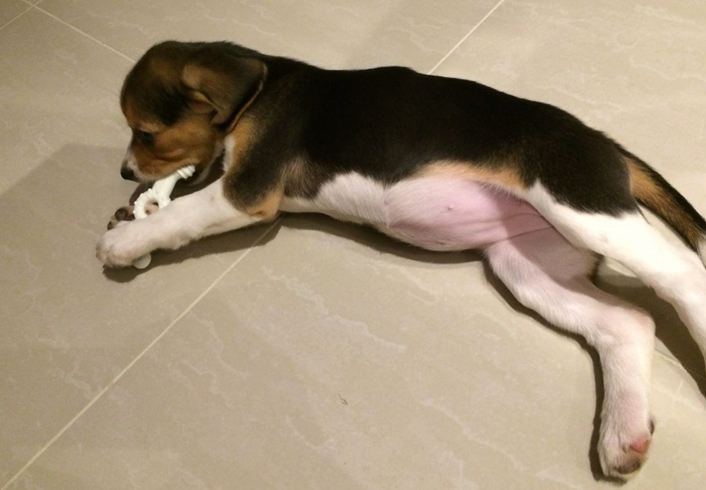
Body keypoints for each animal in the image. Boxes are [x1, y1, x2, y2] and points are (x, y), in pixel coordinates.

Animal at [97, 41, 706, 479]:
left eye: (146, 131)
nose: (126, 172)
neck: (261, 86)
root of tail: (604, 142)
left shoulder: (246, 192)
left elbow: (183, 213)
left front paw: (125, 242)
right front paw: (139, 209)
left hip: (580, 206)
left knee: (683, 276)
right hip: (528, 266)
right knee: (630, 322)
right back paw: (622, 433)